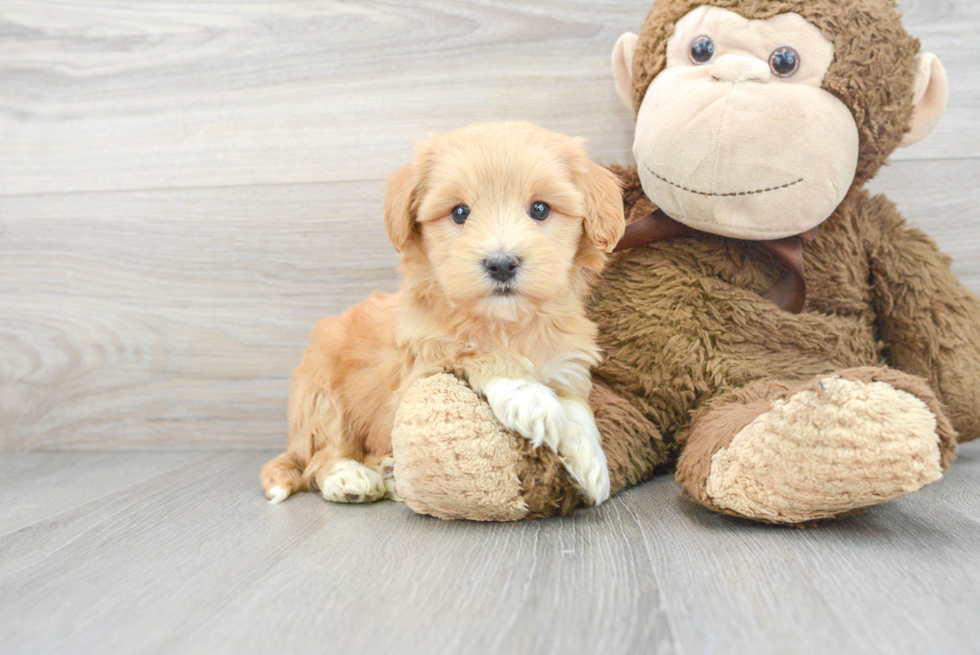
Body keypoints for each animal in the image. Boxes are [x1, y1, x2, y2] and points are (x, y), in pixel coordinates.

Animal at [260, 125, 624, 510]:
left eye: (540, 209)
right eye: (460, 212)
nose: (501, 264)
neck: (507, 323)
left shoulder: (565, 361)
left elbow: (577, 406)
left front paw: (591, 462)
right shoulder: (421, 360)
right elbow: (472, 351)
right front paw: (531, 398)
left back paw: (388, 473)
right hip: (322, 394)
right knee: (323, 455)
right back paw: (348, 478)